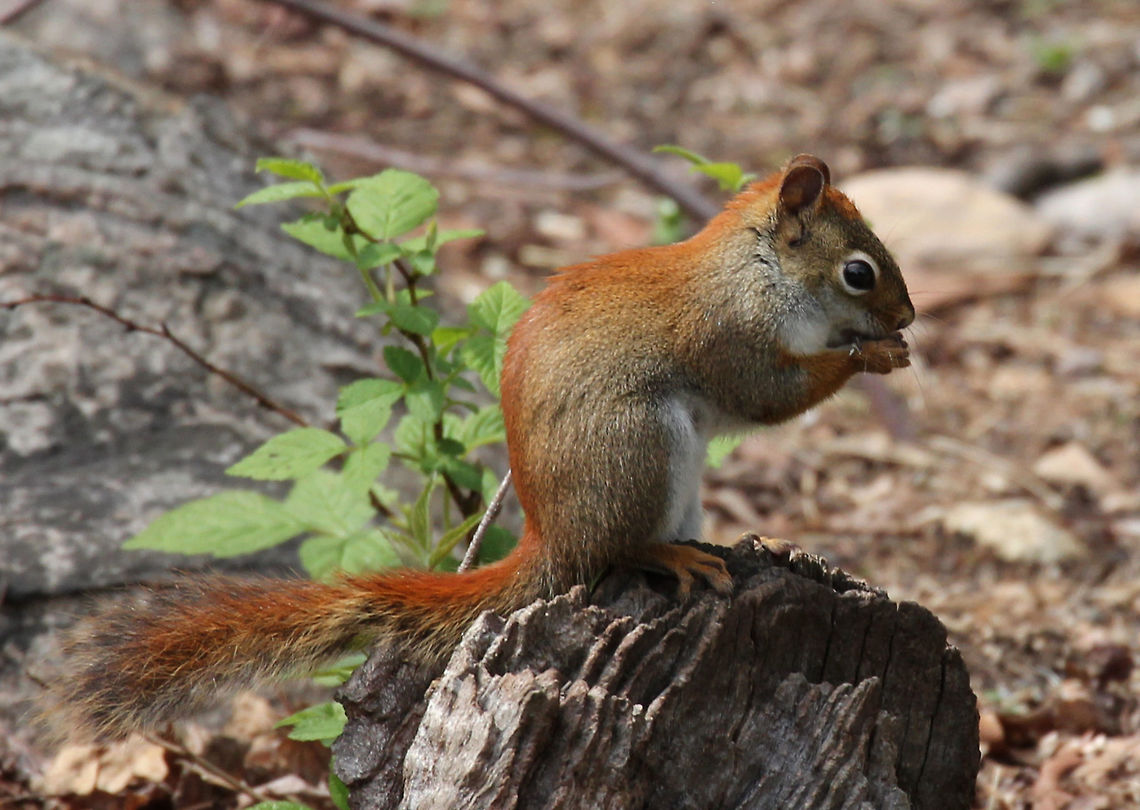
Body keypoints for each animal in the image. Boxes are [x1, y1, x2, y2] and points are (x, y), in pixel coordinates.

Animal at [50, 154, 913, 741]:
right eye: (858, 272)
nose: (909, 317)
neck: (757, 271)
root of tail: (548, 534)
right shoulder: (726, 335)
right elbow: (769, 396)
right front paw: (868, 356)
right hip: (637, 449)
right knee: (616, 550)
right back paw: (672, 557)